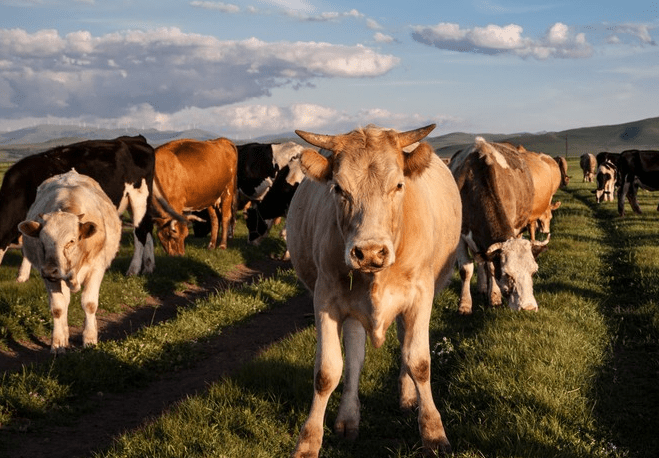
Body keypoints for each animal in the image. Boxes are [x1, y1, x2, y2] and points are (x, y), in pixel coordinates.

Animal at [0, 134, 157, 280]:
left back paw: (133, 270)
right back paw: (148, 267)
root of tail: (135, 139)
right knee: (148, 226)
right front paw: (22, 276)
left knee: (140, 231)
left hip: (139, 197)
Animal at [17, 170, 121, 352]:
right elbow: (58, 308)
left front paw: (90, 339)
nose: (50, 270)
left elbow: (89, 304)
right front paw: (58, 343)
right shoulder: (48, 275)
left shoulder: (97, 268)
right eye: (42, 242)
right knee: (65, 302)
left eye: (71, 241)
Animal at [286, 124, 462, 458]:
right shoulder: (325, 298)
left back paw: (407, 397)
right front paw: (308, 441)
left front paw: (434, 433)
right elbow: (327, 372)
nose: (369, 252)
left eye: (398, 185)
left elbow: (419, 362)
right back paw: (348, 419)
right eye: (338, 189)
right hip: (353, 311)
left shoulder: (421, 296)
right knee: (355, 356)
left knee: (403, 344)